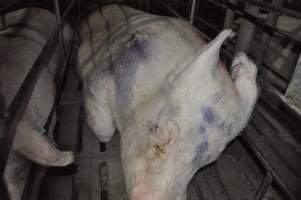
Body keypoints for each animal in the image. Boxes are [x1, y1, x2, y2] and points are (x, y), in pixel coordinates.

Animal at [77, 4, 258, 200]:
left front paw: (241, 60)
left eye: (205, 163)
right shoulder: (99, 81)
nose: (153, 196)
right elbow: (105, 131)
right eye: (162, 136)